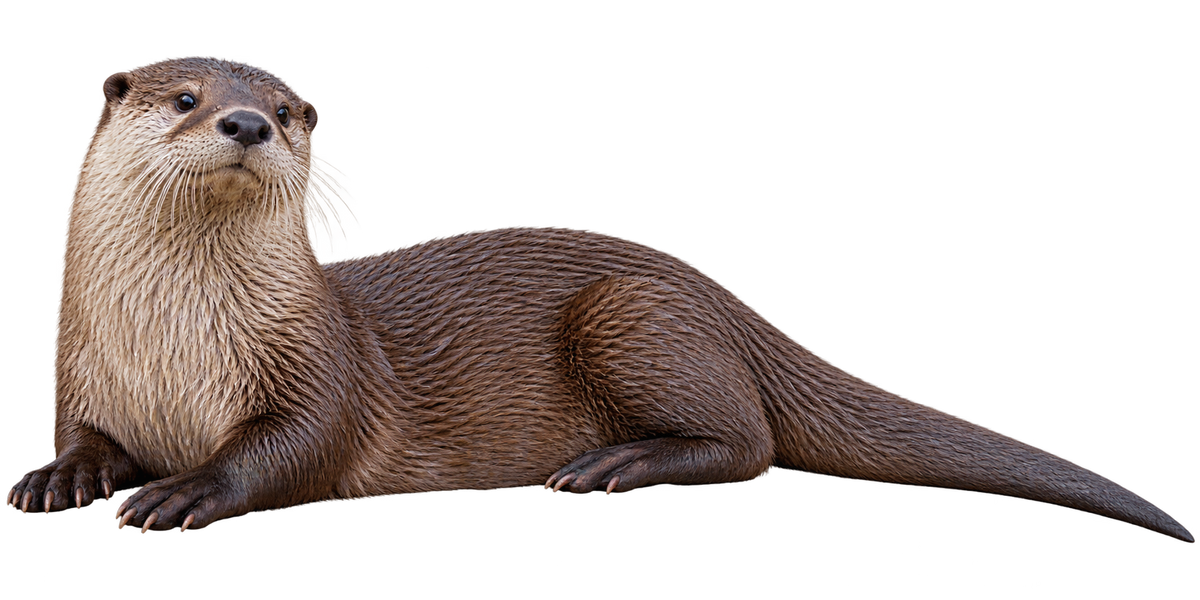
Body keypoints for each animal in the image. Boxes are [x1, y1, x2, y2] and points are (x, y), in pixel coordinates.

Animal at [6, 55, 1193, 545]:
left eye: (292, 113)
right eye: (185, 97)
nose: (247, 123)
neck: (173, 350)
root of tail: (719, 295)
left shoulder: (316, 373)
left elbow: (287, 449)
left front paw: (181, 491)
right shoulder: (81, 367)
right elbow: (82, 435)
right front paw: (58, 479)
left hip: (631, 318)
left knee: (751, 445)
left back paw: (609, 468)